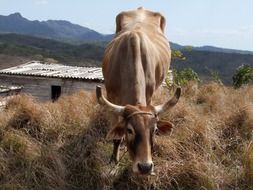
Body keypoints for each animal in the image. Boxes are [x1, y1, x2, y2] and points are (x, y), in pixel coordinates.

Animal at [96, 7, 181, 175]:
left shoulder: (149, 95)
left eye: (155, 130)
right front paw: (114, 162)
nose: (145, 167)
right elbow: (116, 137)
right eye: (130, 130)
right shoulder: (111, 97)